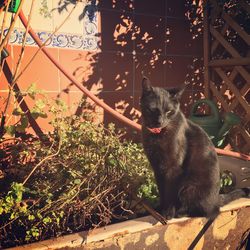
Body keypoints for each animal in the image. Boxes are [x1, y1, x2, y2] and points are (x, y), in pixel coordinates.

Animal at [140, 76, 249, 219]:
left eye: (169, 111)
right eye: (152, 109)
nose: (160, 121)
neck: (158, 135)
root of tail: (217, 198)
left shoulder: (173, 168)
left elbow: (170, 193)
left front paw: (168, 213)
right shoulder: (158, 167)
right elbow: (162, 191)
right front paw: (159, 209)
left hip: (190, 186)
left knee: (204, 210)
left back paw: (180, 212)